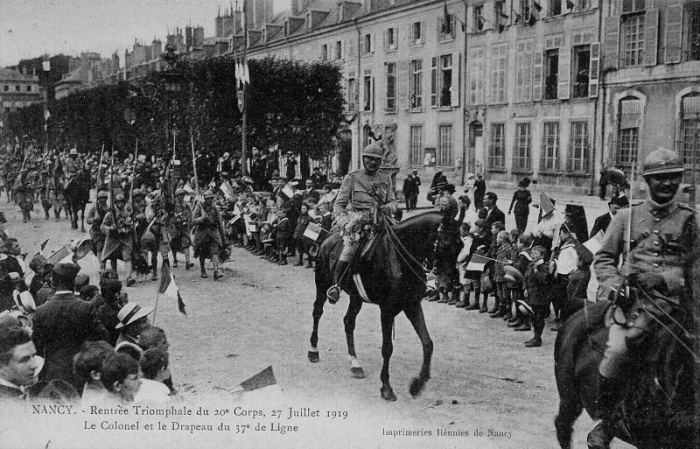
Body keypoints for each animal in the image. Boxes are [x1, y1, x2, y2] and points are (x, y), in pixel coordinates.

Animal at [308, 212, 452, 400]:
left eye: (461, 245)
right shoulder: (387, 310)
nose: (445, 287)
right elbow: (387, 348)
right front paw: (386, 387)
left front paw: (417, 385)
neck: (399, 258)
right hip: (322, 283)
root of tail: (327, 238)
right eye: (445, 244)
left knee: (348, 322)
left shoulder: (412, 305)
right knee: (317, 312)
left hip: (356, 297)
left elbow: (428, 343)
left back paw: (355, 364)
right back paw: (313, 351)